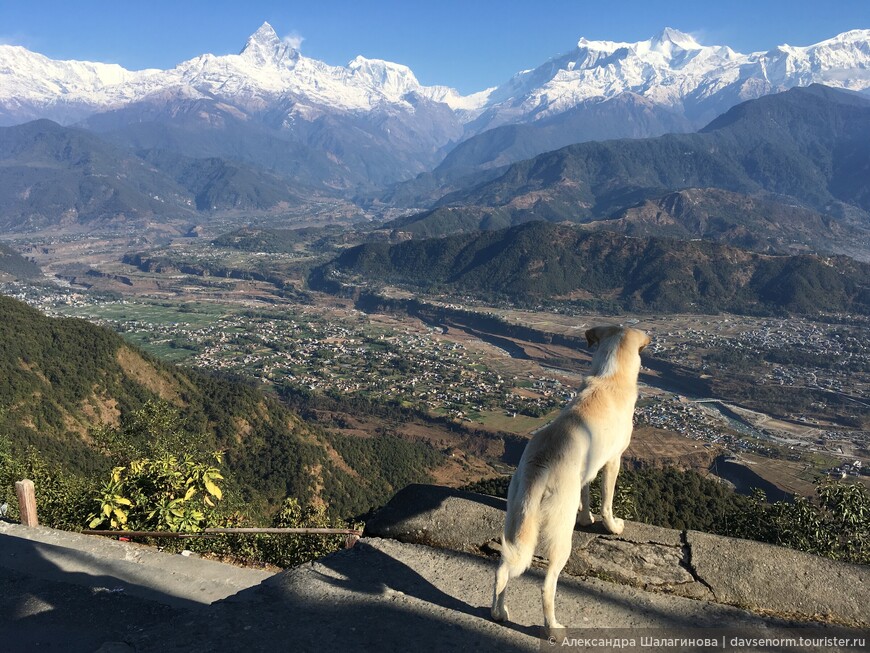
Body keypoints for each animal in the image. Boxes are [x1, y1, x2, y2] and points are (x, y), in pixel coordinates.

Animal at [494, 326, 652, 632]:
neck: (610, 376)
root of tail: (540, 465)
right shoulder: (613, 461)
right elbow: (606, 502)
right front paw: (612, 526)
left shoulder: (587, 468)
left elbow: (587, 494)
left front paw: (586, 518)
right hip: (559, 534)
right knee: (547, 586)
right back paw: (552, 627)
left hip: (515, 519)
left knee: (503, 568)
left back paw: (499, 612)